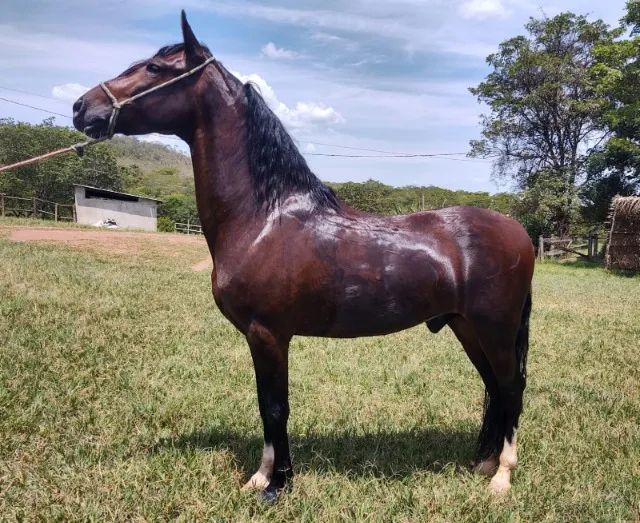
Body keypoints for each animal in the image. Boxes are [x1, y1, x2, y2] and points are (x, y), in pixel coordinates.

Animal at [74, 12, 536, 504]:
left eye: (156, 69)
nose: (82, 107)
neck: (264, 218)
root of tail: (520, 233)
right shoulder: (261, 337)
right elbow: (266, 405)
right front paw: (261, 476)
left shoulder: (269, 334)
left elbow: (276, 407)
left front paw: (276, 484)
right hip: (466, 327)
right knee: (494, 387)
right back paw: (482, 464)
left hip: (495, 327)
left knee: (510, 387)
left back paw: (502, 477)